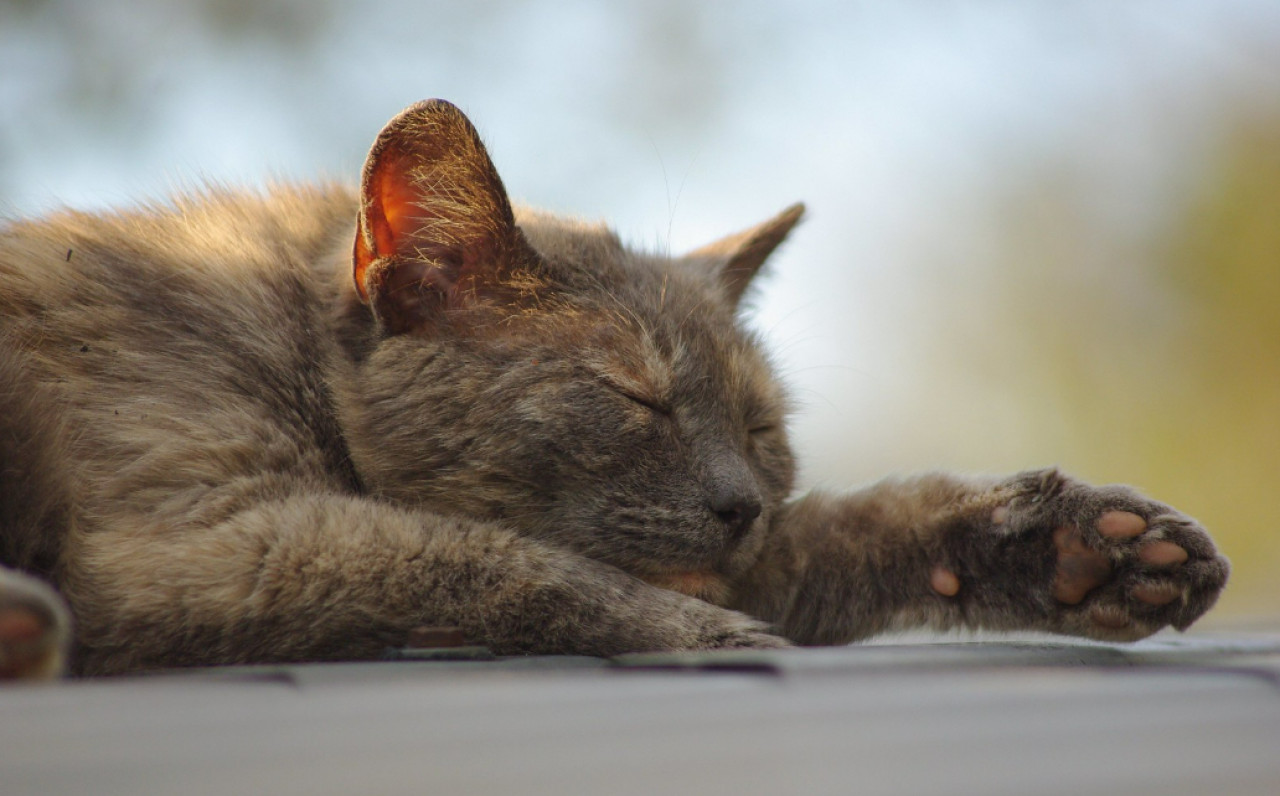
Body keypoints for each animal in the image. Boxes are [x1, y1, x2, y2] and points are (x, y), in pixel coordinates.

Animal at [0, 99, 1228, 680]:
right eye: (634, 396)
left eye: (761, 427)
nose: (739, 502)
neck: (286, 342)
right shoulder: (187, 540)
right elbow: (475, 555)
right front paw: (698, 631)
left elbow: (848, 529)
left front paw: (1089, 549)